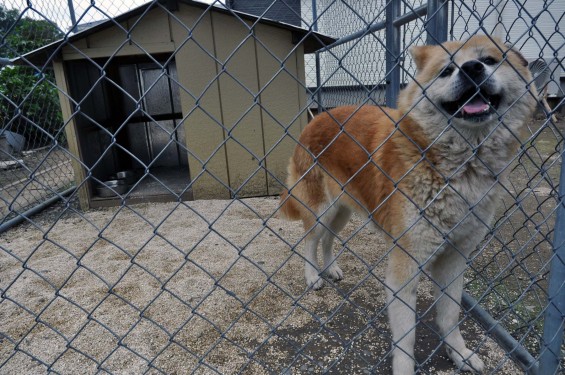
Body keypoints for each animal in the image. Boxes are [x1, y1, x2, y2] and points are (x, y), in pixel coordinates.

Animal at [280, 34, 536, 374]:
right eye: (446, 70)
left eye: (490, 60)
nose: (471, 69)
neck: (459, 167)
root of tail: (317, 116)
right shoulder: (405, 266)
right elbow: (406, 339)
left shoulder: (455, 258)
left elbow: (450, 316)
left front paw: (459, 353)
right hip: (321, 209)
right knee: (309, 241)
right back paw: (312, 277)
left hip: (343, 209)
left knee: (328, 240)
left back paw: (331, 268)